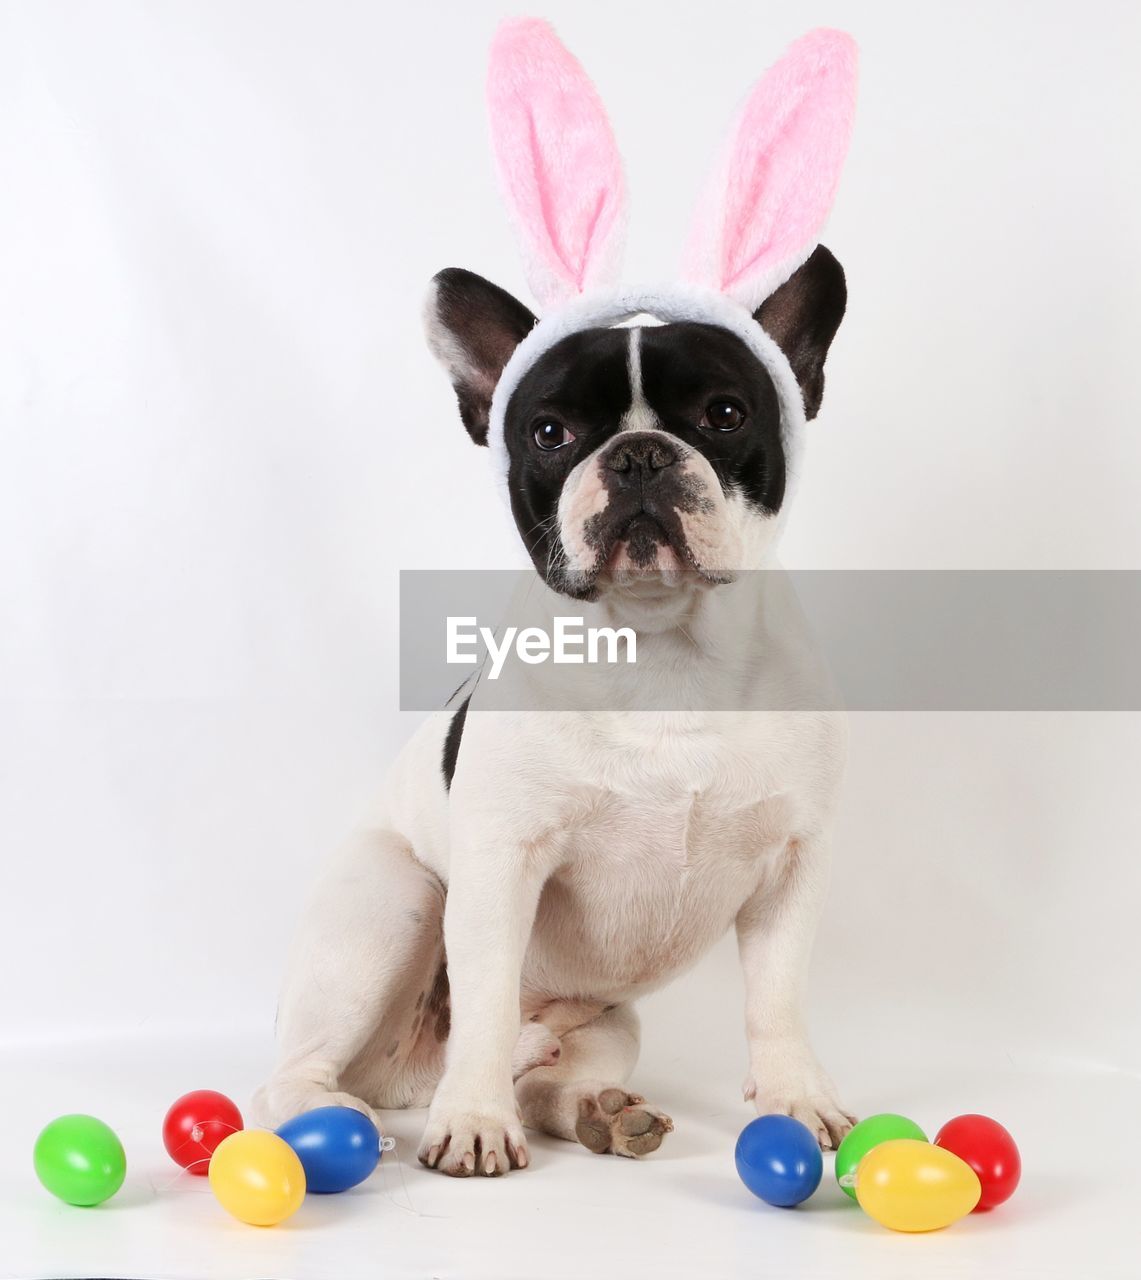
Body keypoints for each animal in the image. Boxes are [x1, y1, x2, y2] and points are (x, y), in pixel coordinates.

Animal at [254, 22, 860, 1177]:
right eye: (549, 432)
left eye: (724, 413)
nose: (636, 453)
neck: (663, 651)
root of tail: (398, 1081)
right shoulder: (499, 865)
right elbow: (487, 998)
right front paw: (474, 1125)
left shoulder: (794, 870)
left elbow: (779, 1002)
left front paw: (799, 1100)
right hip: (392, 904)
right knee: (302, 1071)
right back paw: (364, 1112)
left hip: (607, 1016)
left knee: (552, 1066)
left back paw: (594, 1111)